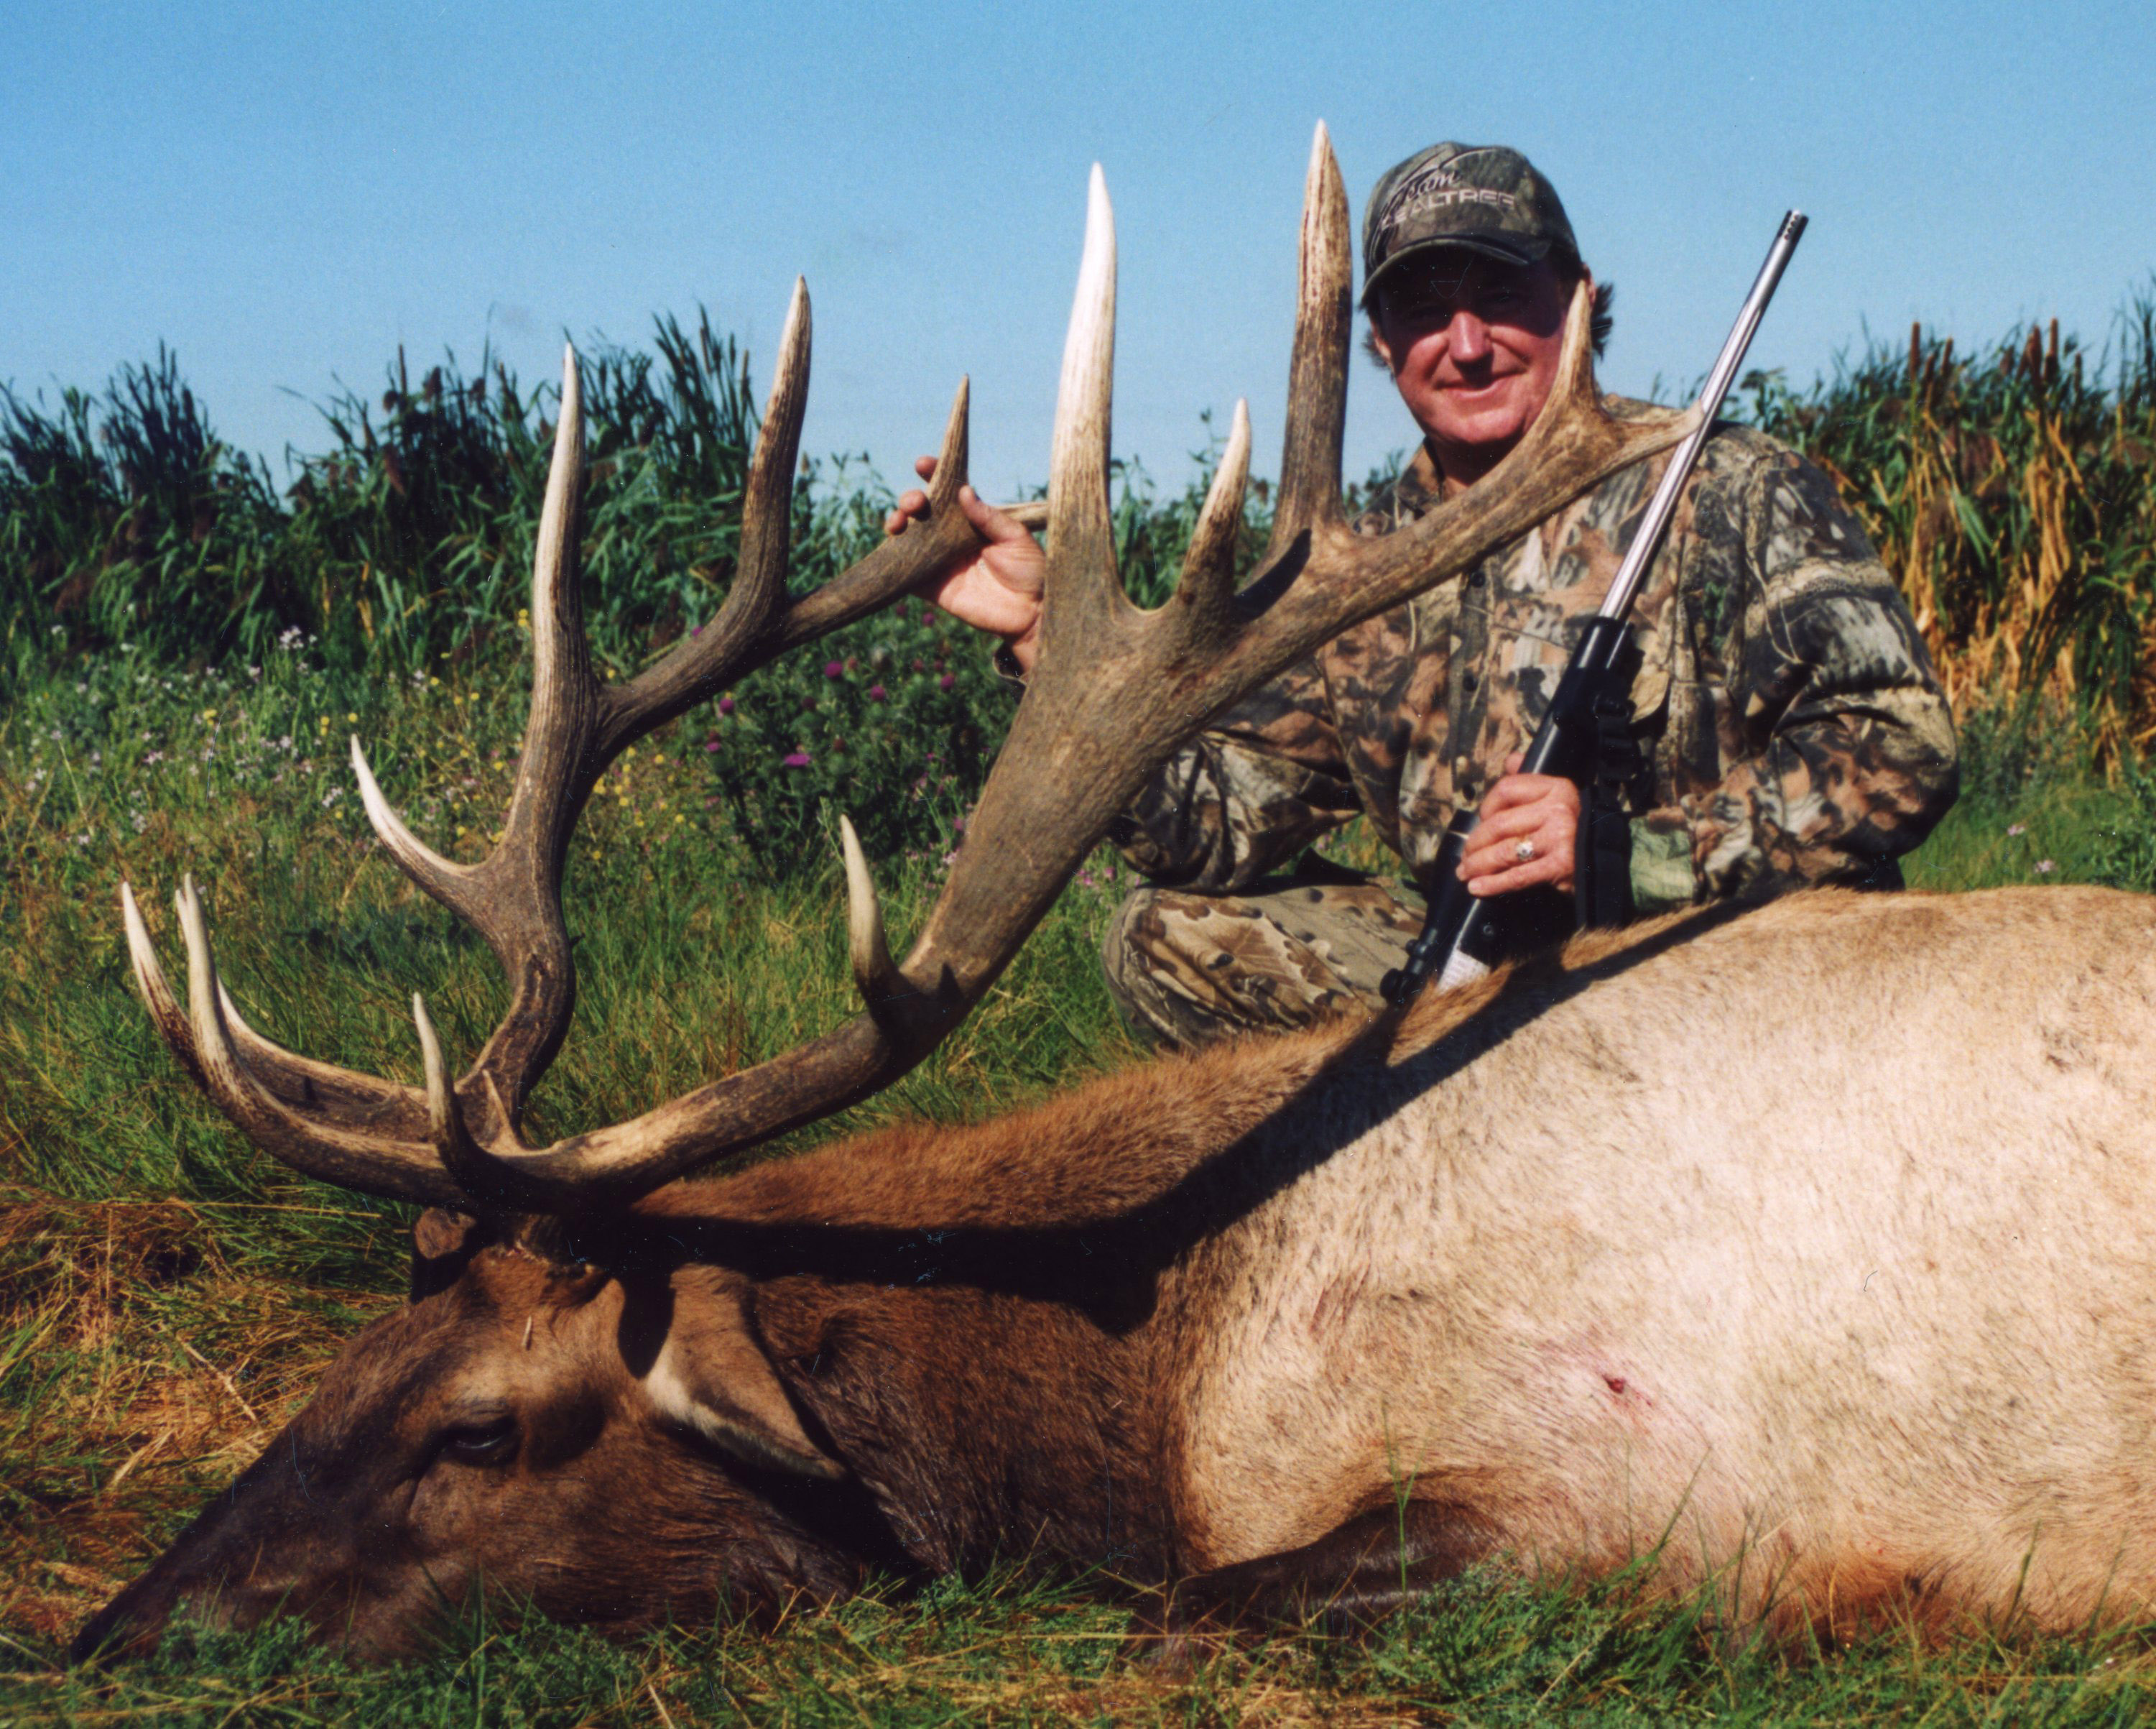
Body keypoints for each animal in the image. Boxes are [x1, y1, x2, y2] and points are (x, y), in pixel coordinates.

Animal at [75, 125, 2156, 1666]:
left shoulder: (1610, 1486)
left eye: (481, 1423)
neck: (1166, 1366)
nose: (119, 1634)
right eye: (345, 1357)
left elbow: (1192, 1607)